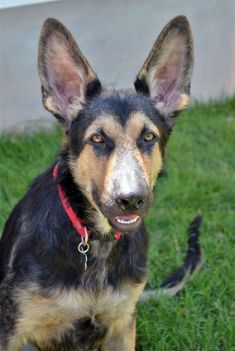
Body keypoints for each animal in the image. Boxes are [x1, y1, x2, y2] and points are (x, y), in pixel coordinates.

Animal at [0, 15, 202, 350]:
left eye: (148, 137)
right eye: (97, 139)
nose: (131, 199)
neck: (96, 242)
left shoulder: (122, 325)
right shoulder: (14, 332)